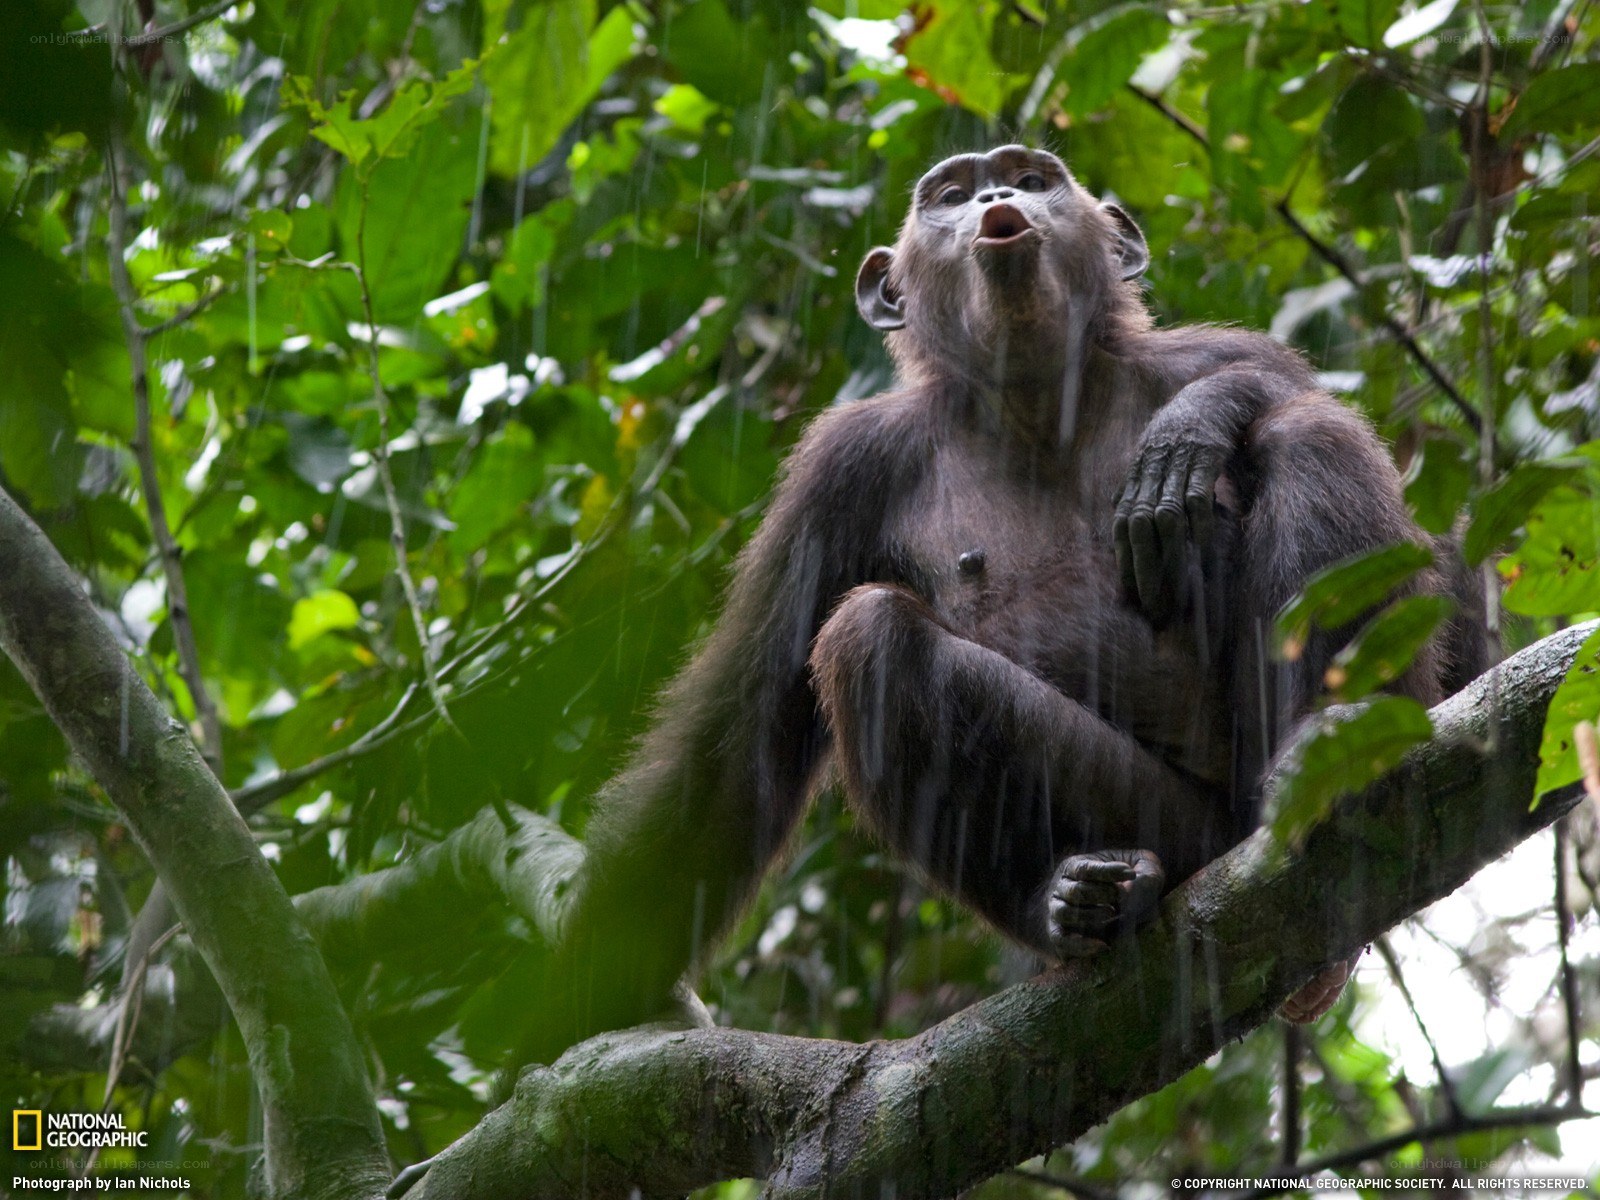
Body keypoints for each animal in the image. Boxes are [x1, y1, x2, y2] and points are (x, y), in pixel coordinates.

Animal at [508, 146, 1448, 1078]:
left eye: (1033, 179)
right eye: (950, 195)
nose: (996, 194)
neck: (1034, 397)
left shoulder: (1222, 346)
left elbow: (1299, 417)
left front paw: (1199, 420)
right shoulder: (839, 473)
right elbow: (742, 729)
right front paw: (582, 992)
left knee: (1308, 433)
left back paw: (1329, 746)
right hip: (1171, 827)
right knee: (871, 641)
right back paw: (1074, 903)